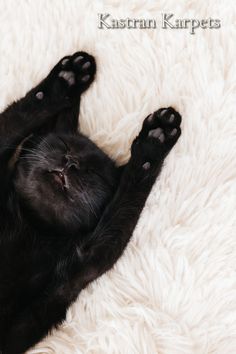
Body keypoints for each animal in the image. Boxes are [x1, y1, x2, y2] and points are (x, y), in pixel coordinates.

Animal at [0, 51, 182, 352]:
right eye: (64, 145)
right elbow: (19, 115)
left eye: (94, 172)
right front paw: (67, 79)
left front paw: (153, 142)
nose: (70, 162)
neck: (35, 226)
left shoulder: (88, 260)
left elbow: (126, 200)